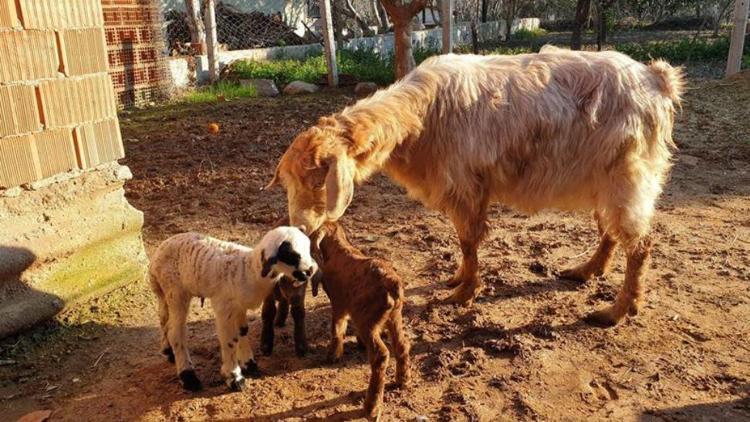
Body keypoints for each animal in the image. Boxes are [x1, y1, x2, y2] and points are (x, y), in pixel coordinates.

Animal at [150, 227, 318, 392]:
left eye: (308, 248)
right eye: (291, 255)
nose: (311, 270)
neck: (249, 269)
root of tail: (159, 252)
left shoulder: (239, 306)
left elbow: (242, 331)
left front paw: (249, 364)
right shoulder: (224, 306)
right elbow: (230, 339)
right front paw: (234, 377)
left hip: (164, 294)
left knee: (164, 320)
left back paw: (168, 351)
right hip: (176, 291)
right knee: (176, 332)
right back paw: (188, 377)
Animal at [314, 223, 414, 420]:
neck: (339, 249)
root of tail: (392, 283)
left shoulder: (339, 304)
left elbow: (337, 329)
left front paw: (333, 356)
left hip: (367, 321)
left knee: (380, 355)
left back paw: (371, 408)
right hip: (394, 316)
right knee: (401, 345)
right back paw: (402, 380)